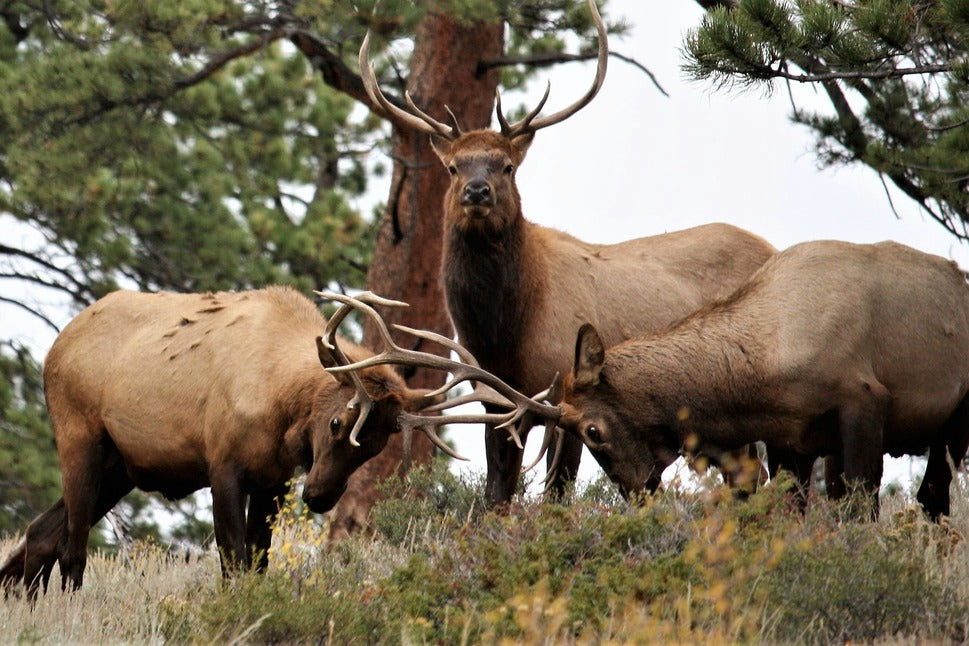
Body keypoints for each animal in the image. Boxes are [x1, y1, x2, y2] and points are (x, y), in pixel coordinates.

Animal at [0, 288, 458, 596]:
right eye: (336, 422)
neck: (280, 407)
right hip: (79, 437)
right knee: (71, 547)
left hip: (120, 467)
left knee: (40, 532)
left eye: (377, 446)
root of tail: (55, 347)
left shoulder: (274, 480)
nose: (320, 497)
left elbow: (258, 562)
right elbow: (233, 562)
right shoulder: (223, 468)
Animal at [360, 0, 776, 506]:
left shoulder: (564, 391)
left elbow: (557, 491)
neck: (503, 333)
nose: (477, 192)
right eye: (454, 166)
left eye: (507, 166)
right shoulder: (494, 399)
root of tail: (773, 246)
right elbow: (497, 493)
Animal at [548, 240, 968, 520]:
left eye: (592, 430)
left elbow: (860, 508)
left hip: (954, 420)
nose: (637, 494)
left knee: (932, 495)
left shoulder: (865, 403)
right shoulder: (790, 441)